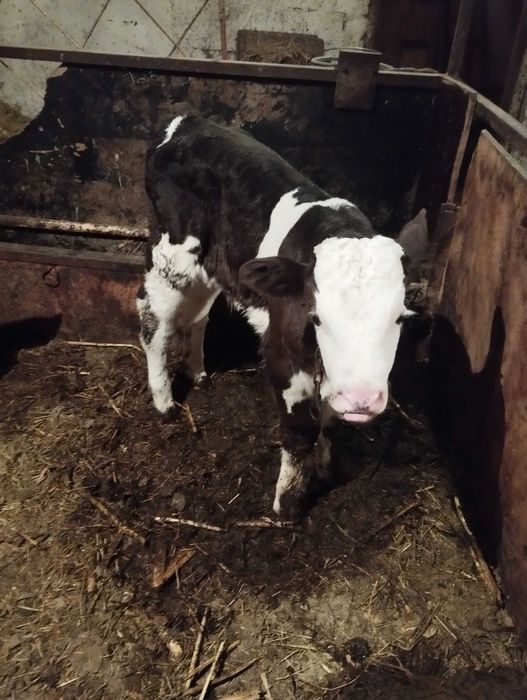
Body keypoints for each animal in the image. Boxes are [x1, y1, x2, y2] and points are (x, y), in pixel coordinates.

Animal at [137, 110, 427, 520]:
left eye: (398, 318)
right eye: (317, 318)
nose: (361, 399)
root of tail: (185, 122)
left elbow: (328, 421)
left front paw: (326, 466)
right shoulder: (282, 356)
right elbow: (299, 431)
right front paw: (287, 503)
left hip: (213, 264)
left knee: (198, 315)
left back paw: (199, 373)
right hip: (171, 254)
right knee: (154, 322)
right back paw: (164, 402)